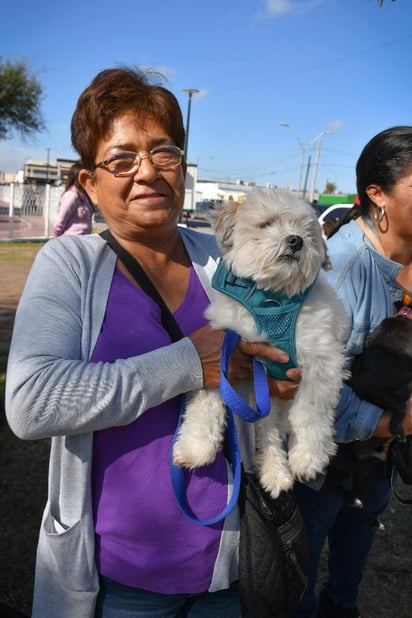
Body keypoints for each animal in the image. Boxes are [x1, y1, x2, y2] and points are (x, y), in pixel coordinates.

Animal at [172, 188, 350, 496]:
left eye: (308, 232)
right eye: (266, 223)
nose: (296, 240)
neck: (271, 298)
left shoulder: (321, 362)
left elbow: (310, 413)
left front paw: (308, 458)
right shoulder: (225, 355)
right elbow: (205, 405)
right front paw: (195, 447)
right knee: (268, 435)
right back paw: (275, 472)